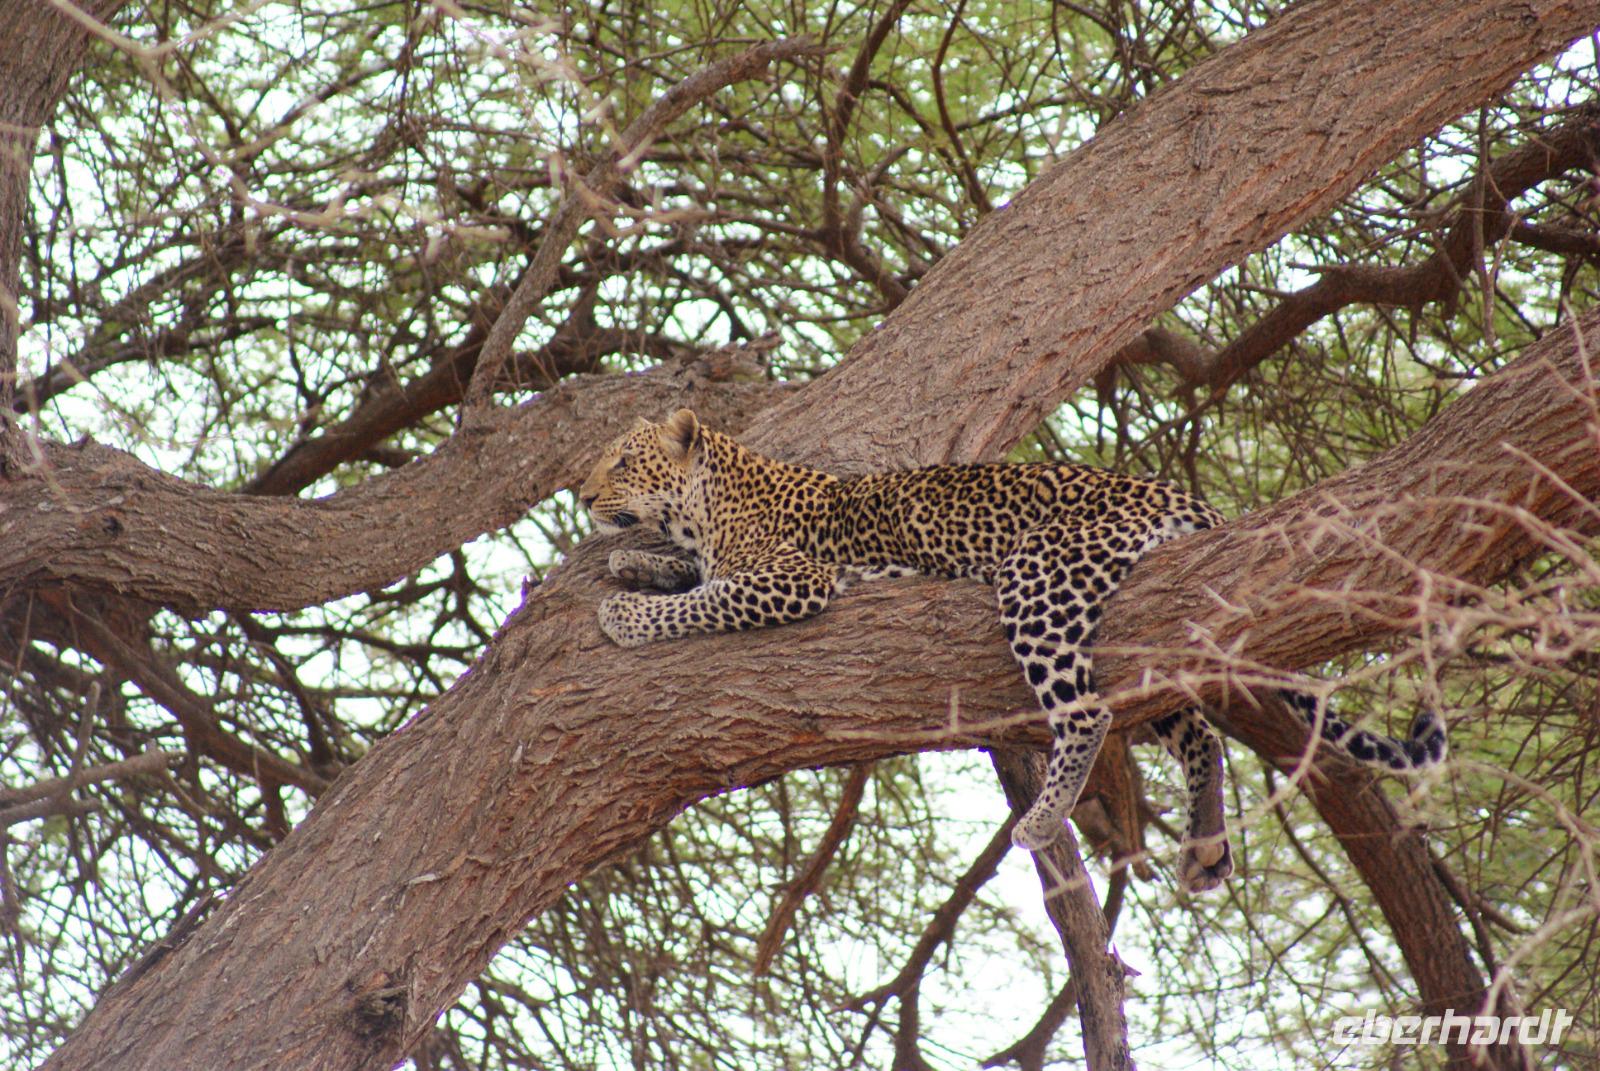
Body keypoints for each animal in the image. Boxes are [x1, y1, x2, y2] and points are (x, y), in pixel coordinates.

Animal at [579, 408, 1448, 892]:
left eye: (622, 458)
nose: (583, 495)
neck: (710, 500)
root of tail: (1176, 491)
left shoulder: (797, 579)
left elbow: (707, 597)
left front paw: (626, 611)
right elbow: (689, 572)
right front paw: (635, 564)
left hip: (1042, 576)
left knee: (1088, 713)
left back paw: (1043, 818)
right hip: (1138, 636)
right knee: (1196, 730)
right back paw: (1204, 847)